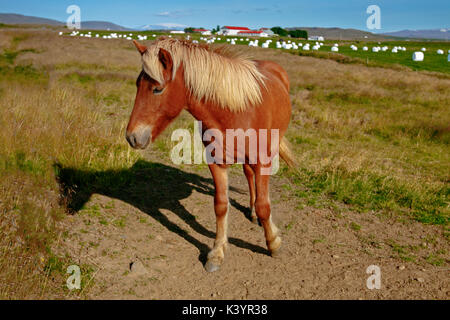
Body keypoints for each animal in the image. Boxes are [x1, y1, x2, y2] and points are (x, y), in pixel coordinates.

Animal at [126, 37, 296, 272]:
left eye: (157, 89)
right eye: (137, 84)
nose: (132, 137)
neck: (236, 111)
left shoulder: (262, 160)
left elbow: (264, 205)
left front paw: (273, 243)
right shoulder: (216, 162)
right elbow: (221, 206)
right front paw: (217, 253)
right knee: (248, 175)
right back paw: (251, 212)